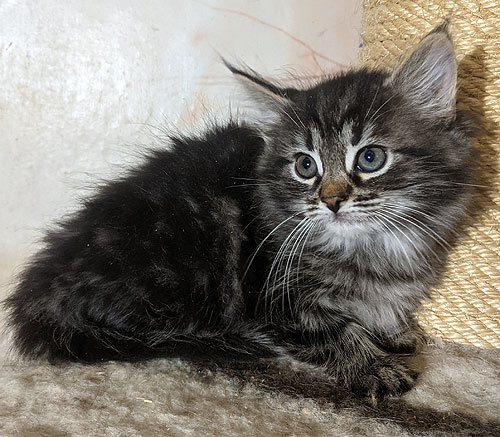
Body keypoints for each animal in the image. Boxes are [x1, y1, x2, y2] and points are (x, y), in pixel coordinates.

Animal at [3, 22, 473, 401]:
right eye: (306, 166)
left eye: (370, 158)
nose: (331, 199)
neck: (373, 249)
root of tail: (37, 292)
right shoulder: (272, 297)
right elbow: (333, 330)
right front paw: (373, 366)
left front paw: (398, 332)